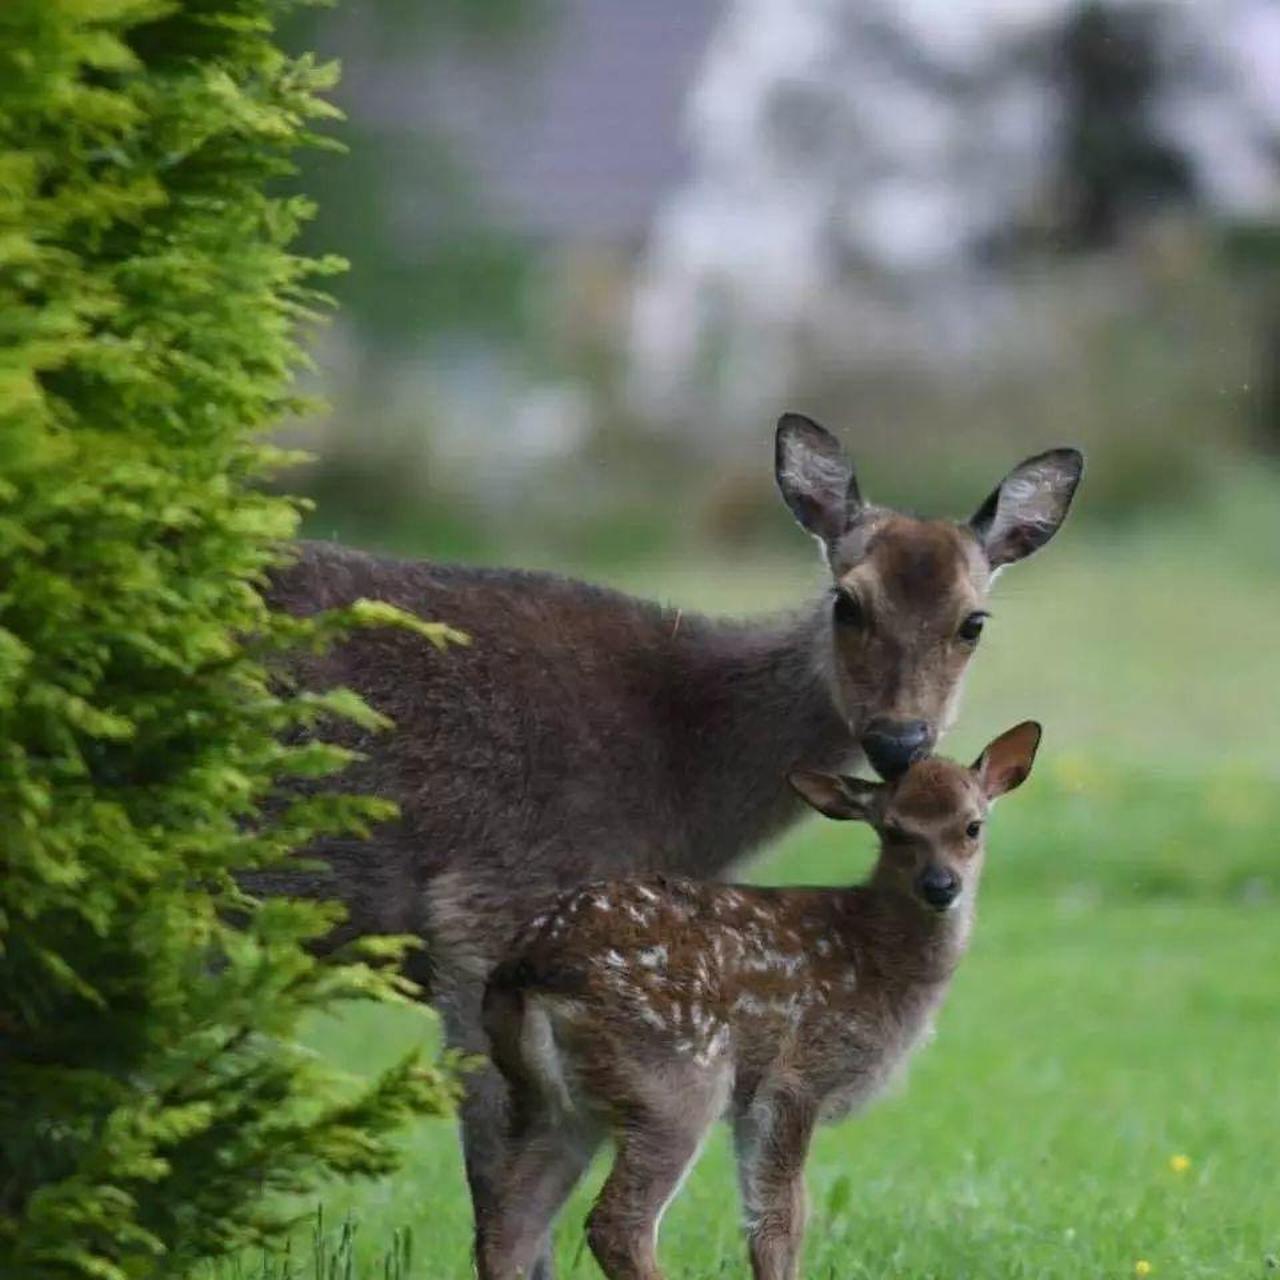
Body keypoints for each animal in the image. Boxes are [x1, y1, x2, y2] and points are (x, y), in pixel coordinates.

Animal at [478, 727, 1039, 1274]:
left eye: (973, 826)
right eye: (895, 830)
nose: (941, 886)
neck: (877, 959)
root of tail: (529, 968)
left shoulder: (751, 1103)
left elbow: (760, 1221)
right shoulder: (798, 1075)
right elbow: (783, 1222)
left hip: (548, 1103)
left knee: (505, 1228)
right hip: (673, 1078)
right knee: (615, 1224)